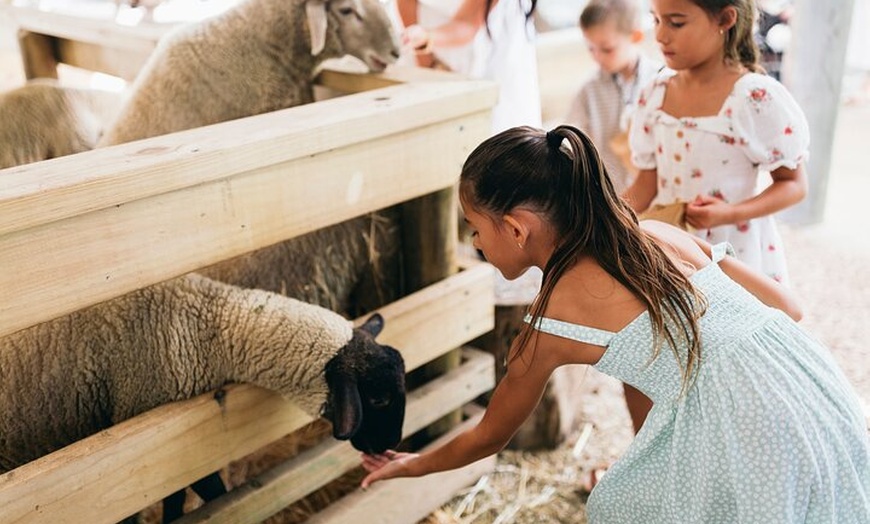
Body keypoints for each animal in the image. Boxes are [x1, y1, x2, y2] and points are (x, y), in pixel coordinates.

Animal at [0, 272, 408, 520]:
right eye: (379, 399)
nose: (390, 446)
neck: (210, 324)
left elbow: (176, 498)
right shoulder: (144, 436)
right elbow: (212, 492)